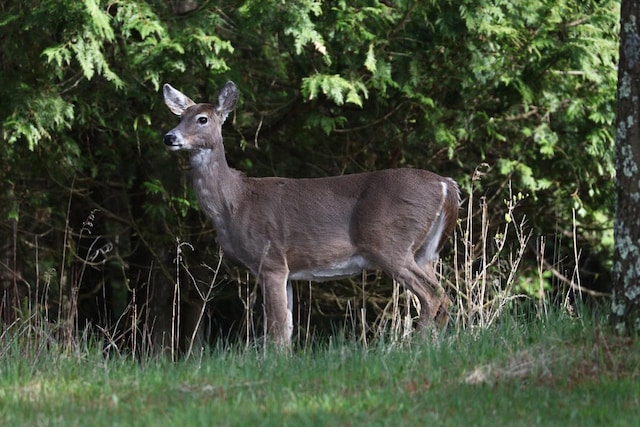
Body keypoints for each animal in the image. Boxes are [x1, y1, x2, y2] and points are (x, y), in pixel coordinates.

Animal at [162, 81, 458, 348]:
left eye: (202, 119)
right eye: (180, 116)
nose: (169, 137)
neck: (235, 202)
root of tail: (446, 184)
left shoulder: (271, 259)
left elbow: (276, 329)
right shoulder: (287, 270)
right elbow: (287, 328)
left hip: (390, 244)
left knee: (431, 296)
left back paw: (417, 346)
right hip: (424, 252)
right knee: (444, 295)